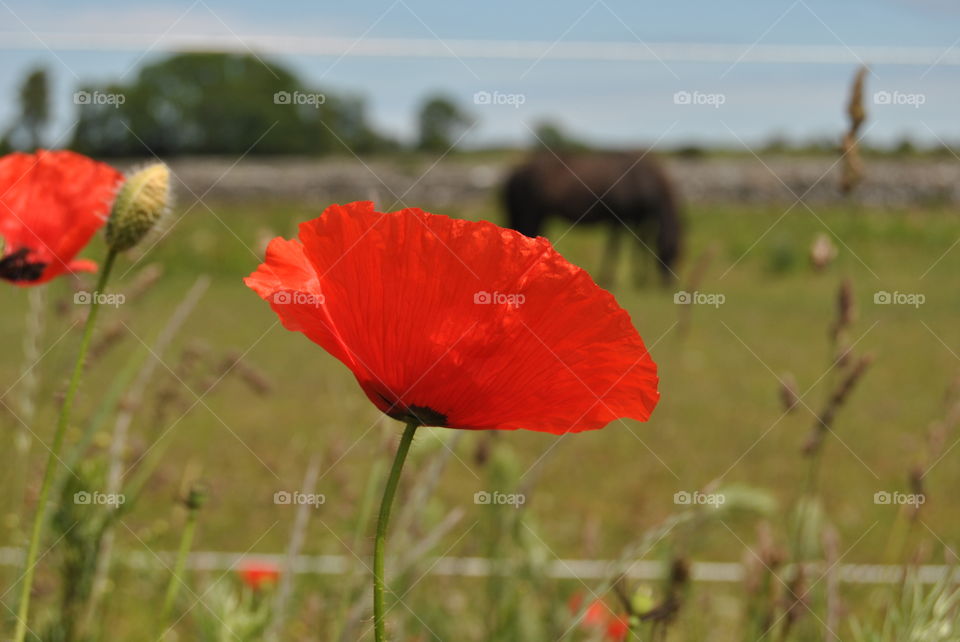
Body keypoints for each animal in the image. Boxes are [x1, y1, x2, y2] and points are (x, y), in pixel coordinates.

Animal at [502, 151, 684, 284]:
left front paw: (640, 279)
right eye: (671, 251)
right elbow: (615, 248)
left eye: (680, 254)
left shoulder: (637, 219)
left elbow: (639, 246)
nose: (669, 283)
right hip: (531, 215)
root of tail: (516, 174)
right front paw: (610, 278)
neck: (643, 179)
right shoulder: (618, 220)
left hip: (538, 215)